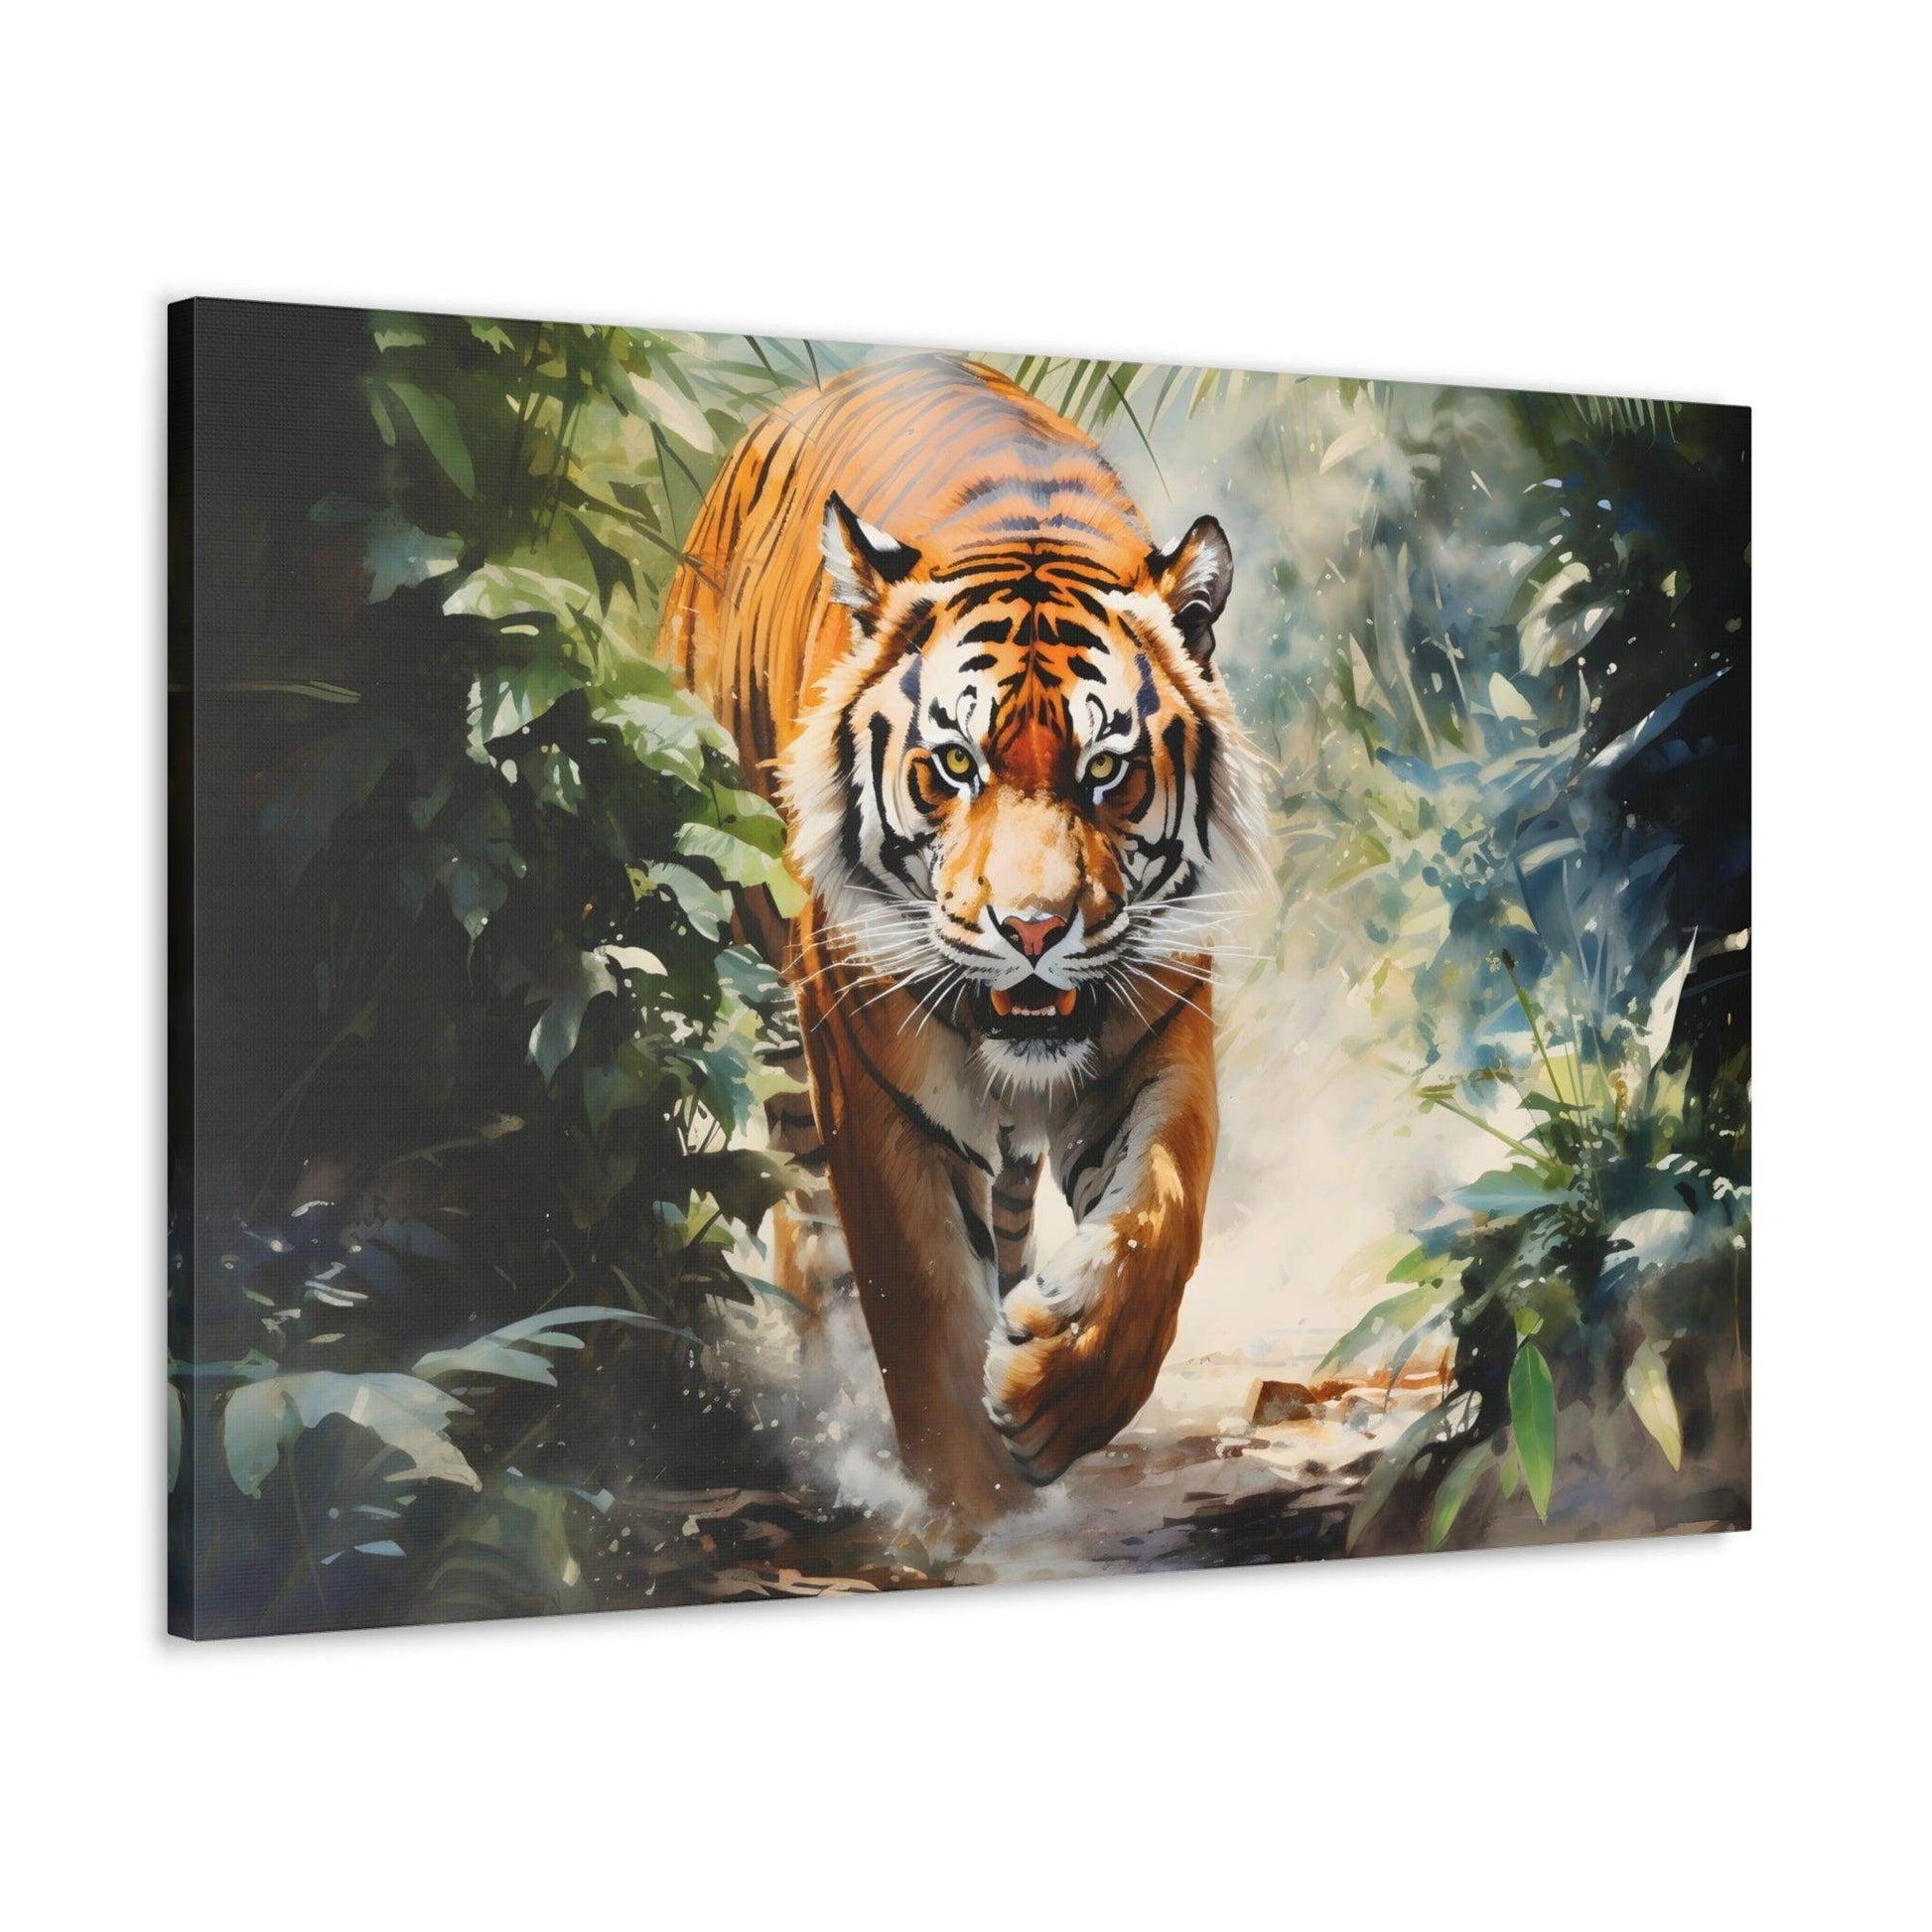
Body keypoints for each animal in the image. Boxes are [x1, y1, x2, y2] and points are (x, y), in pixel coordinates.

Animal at [659, 353, 1264, 1524]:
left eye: (1106, 771)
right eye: (953, 765)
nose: (1031, 928)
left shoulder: (1157, 1032)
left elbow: (1161, 1218)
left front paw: (1052, 1388)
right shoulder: (876, 1089)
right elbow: (924, 1312)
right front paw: (976, 1514)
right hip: (770, 1007)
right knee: (809, 1240)